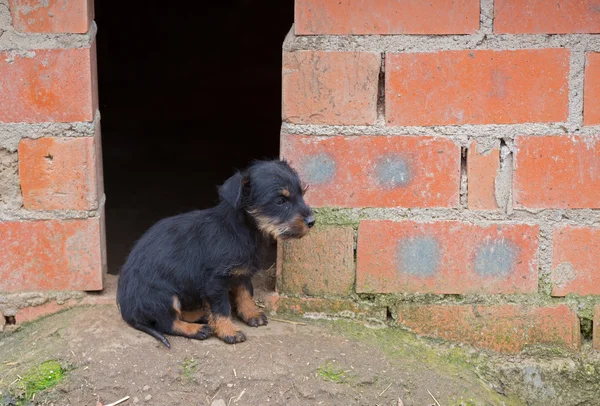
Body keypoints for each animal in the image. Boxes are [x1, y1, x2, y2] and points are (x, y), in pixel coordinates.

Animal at [115, 160, 316, 348]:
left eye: (302, 193)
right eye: (280, 201)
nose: (312, 221)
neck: (244, 230)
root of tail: (128, 312)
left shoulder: (241, 272)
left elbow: (245, 291)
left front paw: (250, 313)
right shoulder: (215, 282)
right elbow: (221, 308)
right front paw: (229, 331)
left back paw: (199, 314)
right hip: (163, 295)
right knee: (166, 322)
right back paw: (197, 329)